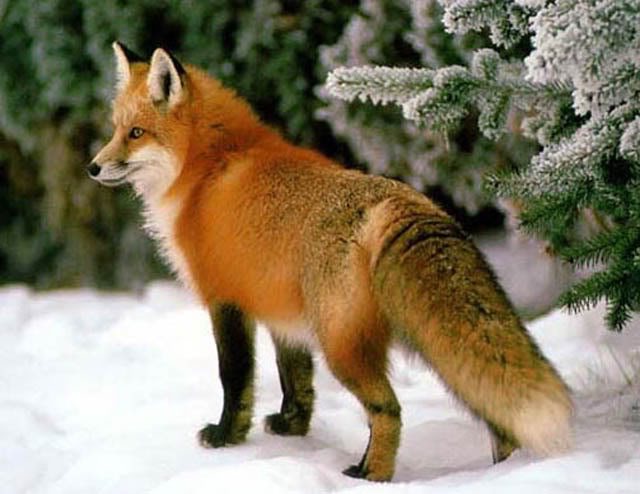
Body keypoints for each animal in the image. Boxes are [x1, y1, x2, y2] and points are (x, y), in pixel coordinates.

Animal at [87, 41, 573, 481]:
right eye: (115, 129)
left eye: (135, 133)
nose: (93, 167)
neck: (208, 167)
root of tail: (403, 201)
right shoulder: (279, 309)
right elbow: (295, 379)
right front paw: (291, 428)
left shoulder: (225, 299)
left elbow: (235, 378)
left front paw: (227, 438)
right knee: (492, 410)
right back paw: (506, 472)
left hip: (341, 345)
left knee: (388, 409)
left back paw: (370, 473)